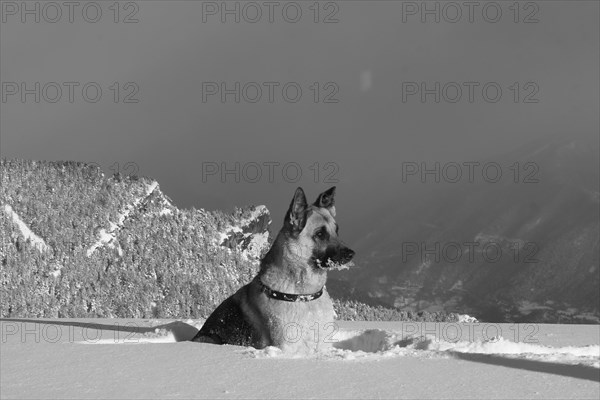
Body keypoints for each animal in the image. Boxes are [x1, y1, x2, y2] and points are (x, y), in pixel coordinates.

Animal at [190, 187, 354, 350]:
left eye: (336, 230)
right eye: (320, 234)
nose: (351, 254)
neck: (305, 295)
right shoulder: (286, 347)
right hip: (208, 338)